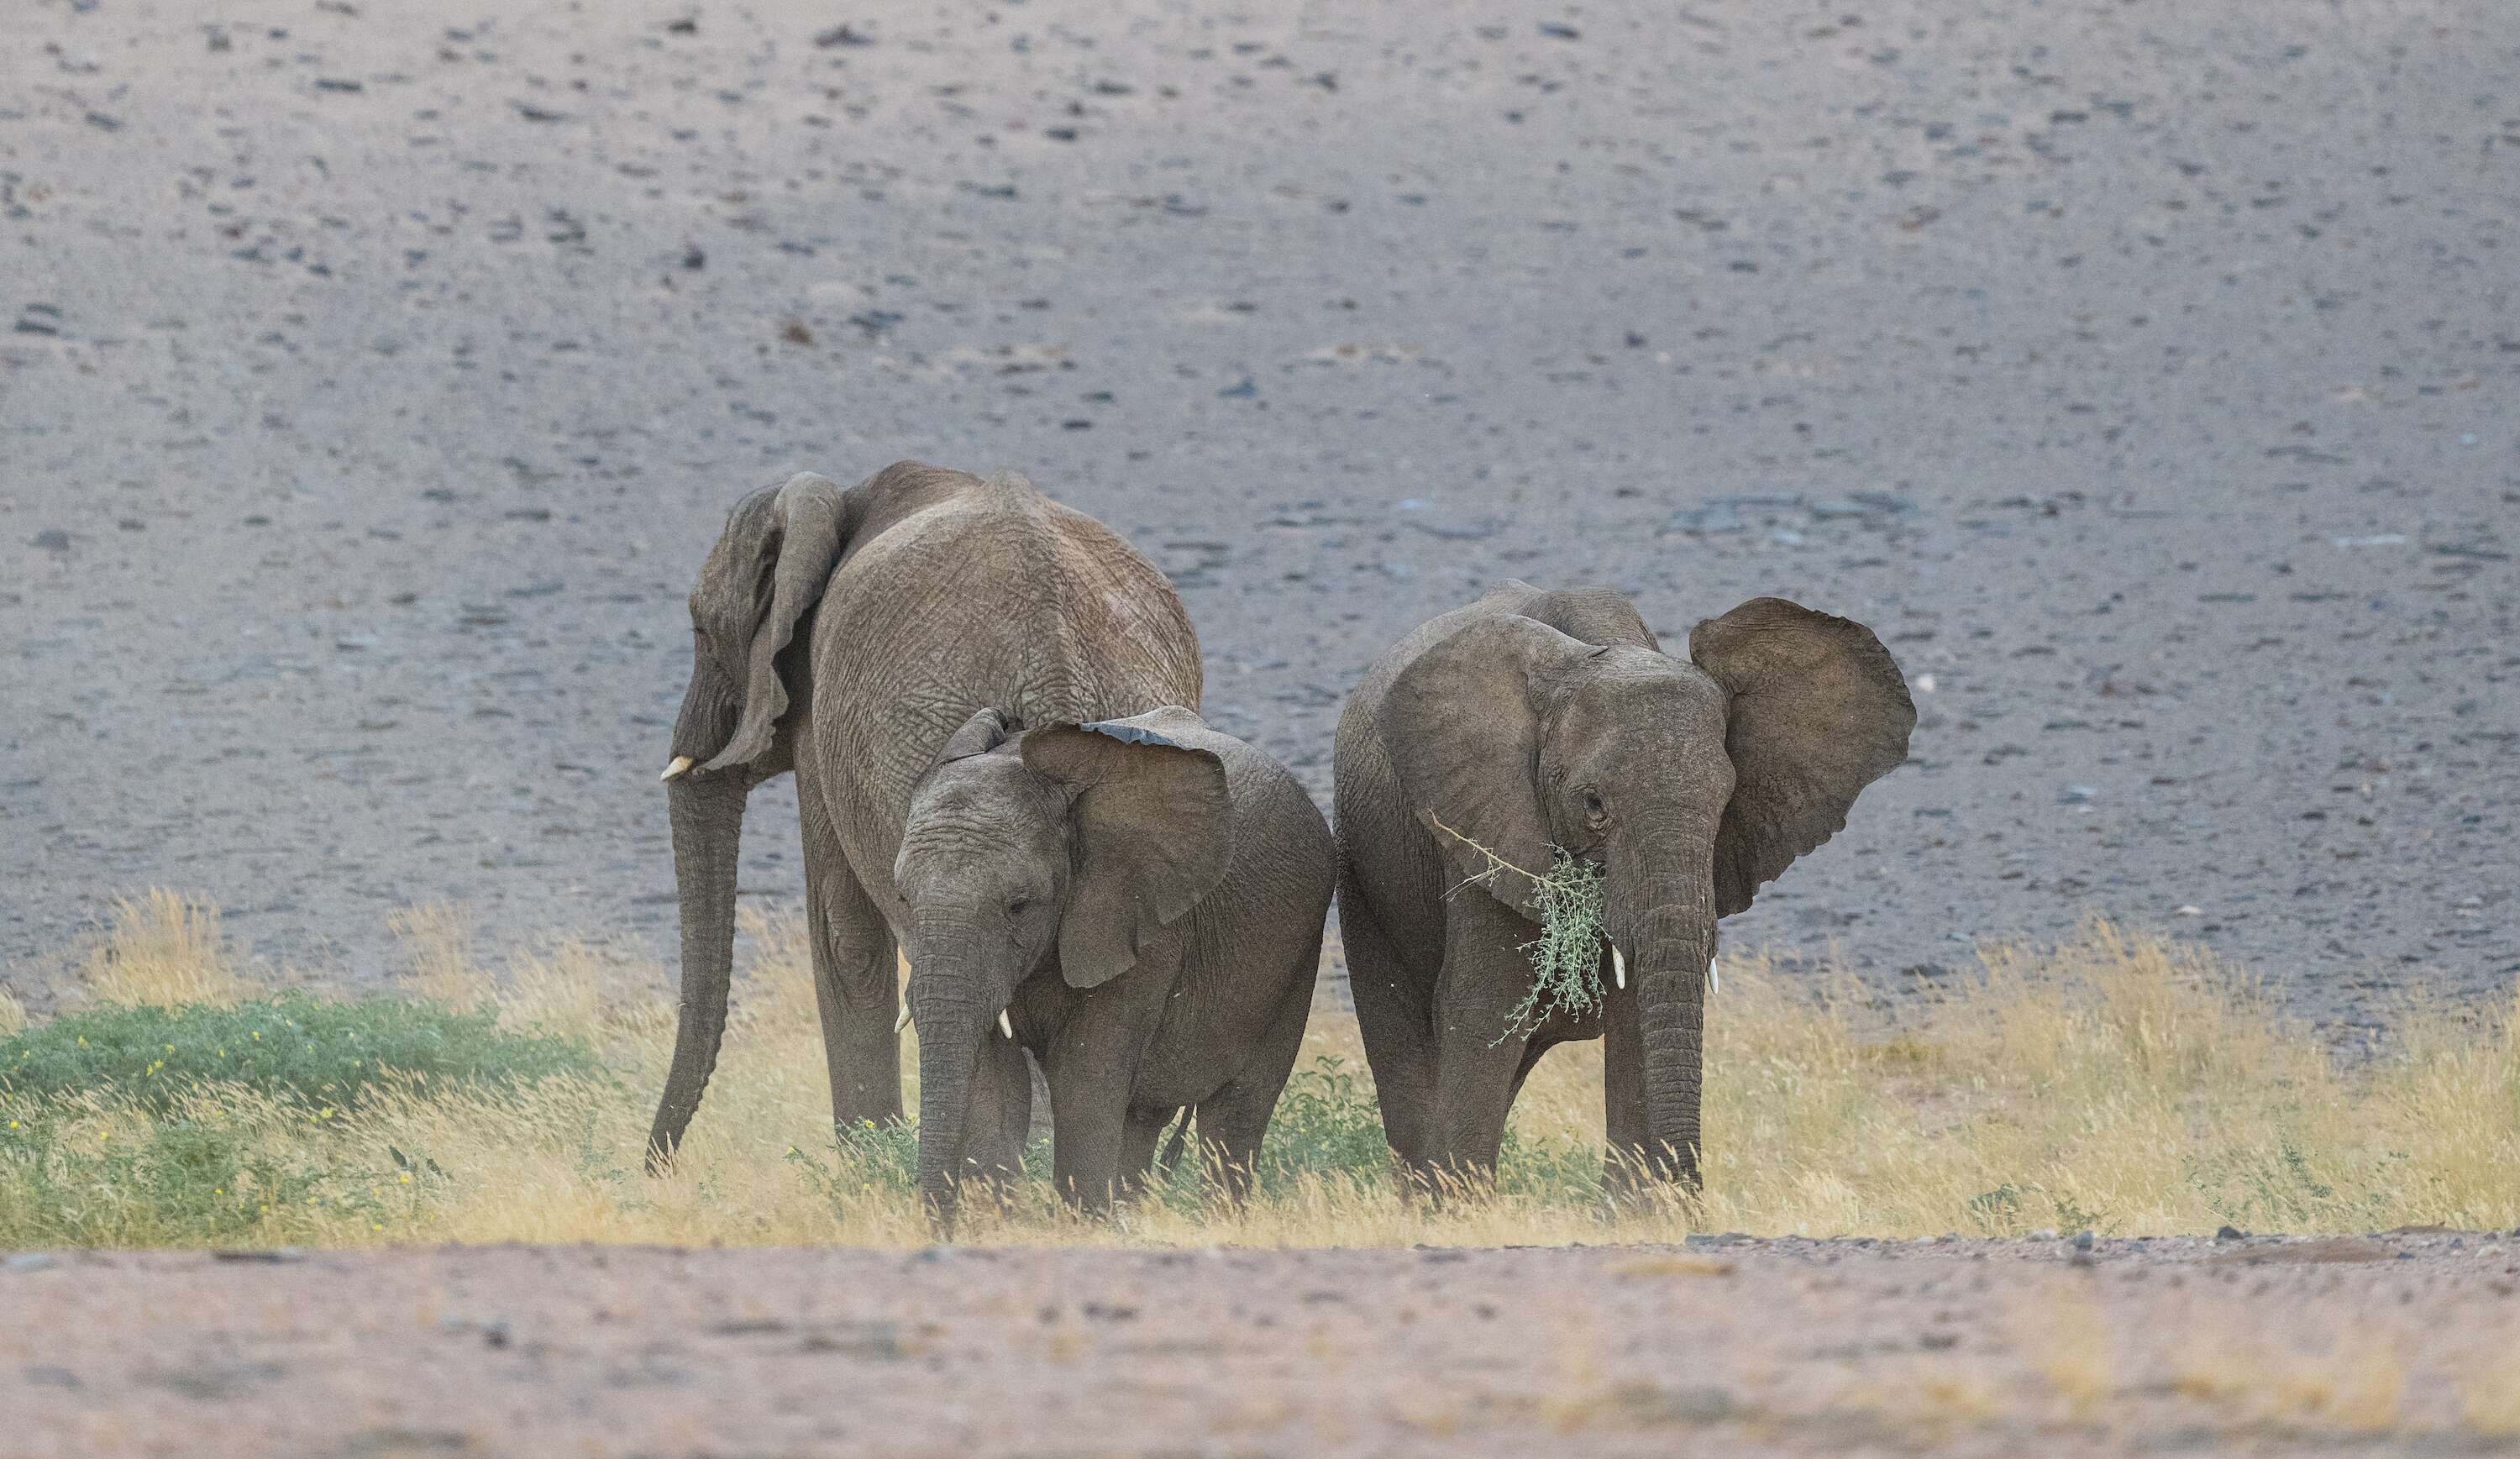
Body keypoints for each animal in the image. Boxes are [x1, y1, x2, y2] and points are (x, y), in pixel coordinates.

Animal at [644, 462, 1204, 1184]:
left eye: (701, 630)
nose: (655, 1168)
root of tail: (1054, 667)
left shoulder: (822, 727)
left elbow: (844, 933)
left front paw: (864, 1163)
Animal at [894, 704, 1335, 1224]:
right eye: (902, 899)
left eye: (1019, 906)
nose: (937, 1226)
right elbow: (993, 1082)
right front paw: (1003, 1224)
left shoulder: (1145, 926)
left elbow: (1083, 1079)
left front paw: (1080, 1226)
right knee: (1143, 1118)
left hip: (1296, 960)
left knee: (1235, 1115)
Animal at [1331, 581, 1913, 1192]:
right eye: (1593, 804)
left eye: (1725, 802)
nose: (1692, 1189)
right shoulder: (1482, 818)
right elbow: (1485, 1005)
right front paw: (1457, 1204)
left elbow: (1637, 1008)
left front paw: (1636, 1204)